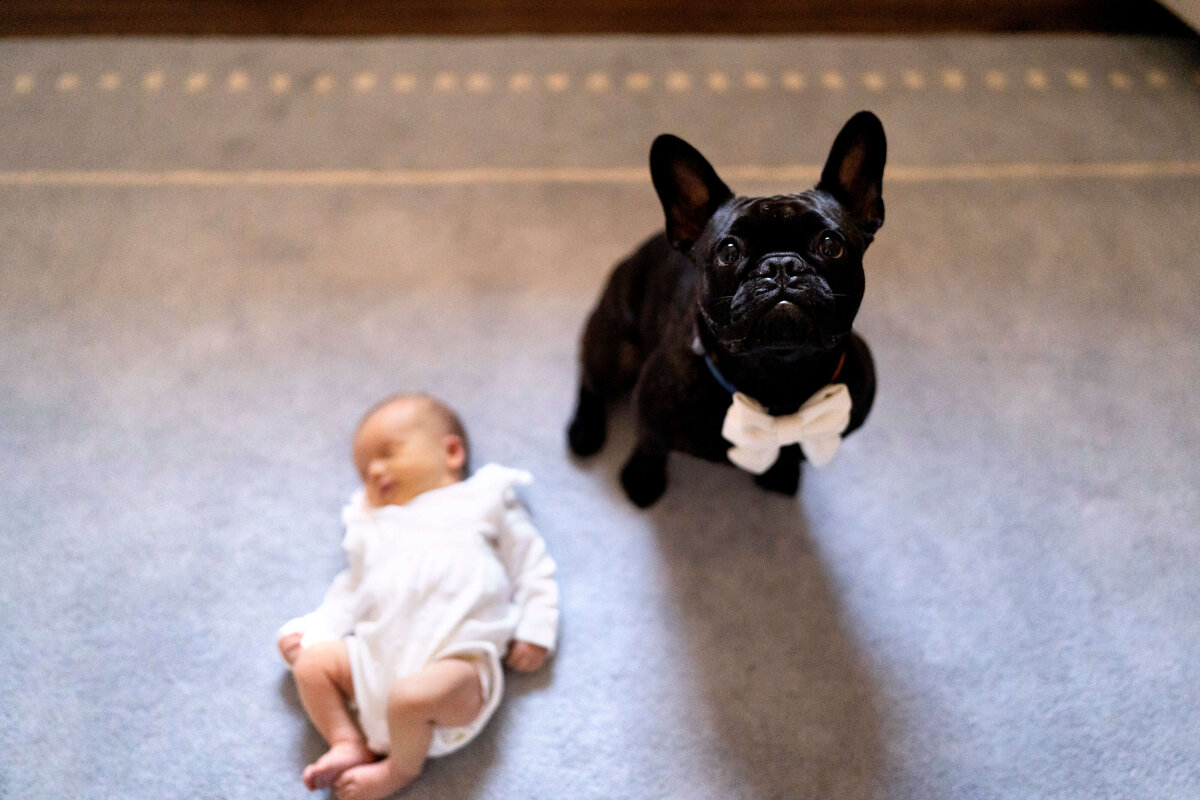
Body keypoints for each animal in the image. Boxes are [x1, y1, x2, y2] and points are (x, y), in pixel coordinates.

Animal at [566, 112, 888, 506]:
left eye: (831, 245)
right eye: (729, 251)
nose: (780, 265)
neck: (778, 374)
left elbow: (791, 452)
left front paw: (780, 473)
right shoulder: (650, 411)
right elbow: (650, 446)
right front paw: (642, 481)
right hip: (617, 352)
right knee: (590, 378)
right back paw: (584, 431)